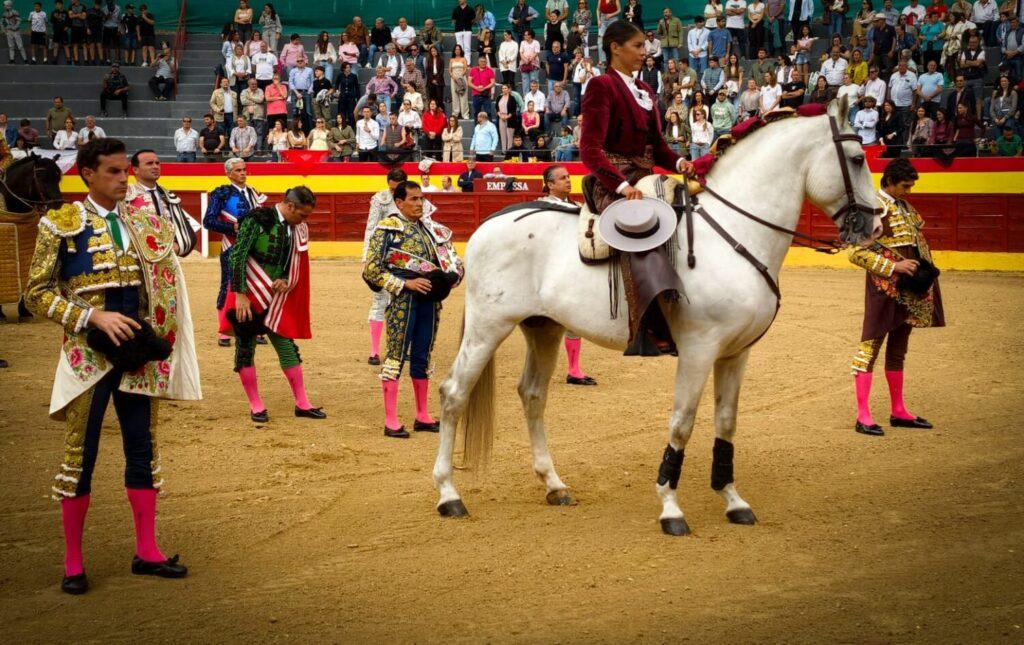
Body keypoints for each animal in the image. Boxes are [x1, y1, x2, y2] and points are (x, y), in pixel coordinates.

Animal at [431, 98, 883, 535]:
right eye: (858, 158)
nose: (877, 225)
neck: (735, 232)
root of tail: (491, 222)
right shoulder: (699, 350)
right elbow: (682, 422)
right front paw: (670, 507)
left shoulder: (736, 354)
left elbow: (727, 422)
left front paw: (733, 500)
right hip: (488, 327)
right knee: (454, 393)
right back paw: (449, 494)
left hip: (543, 328)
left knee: (532, 394)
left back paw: (553, 484)